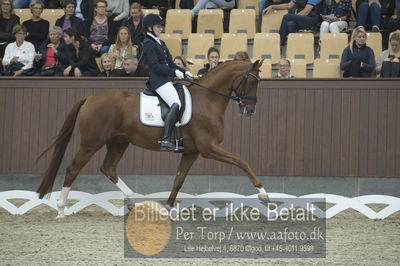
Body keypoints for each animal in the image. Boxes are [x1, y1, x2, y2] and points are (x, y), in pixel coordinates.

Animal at [37, 59, 268, 219]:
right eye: (251, 82)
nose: (250, 110)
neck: (207, 100)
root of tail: (89, 98)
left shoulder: (192, 152)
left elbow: (178, 179)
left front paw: (167, 208)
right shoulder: (209, 148)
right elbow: (242, 161)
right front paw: (263, 193)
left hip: (118, 142)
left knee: (108, 168)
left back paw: (135, 200)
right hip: (91, 143)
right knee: (72, 169)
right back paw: (61, 211)